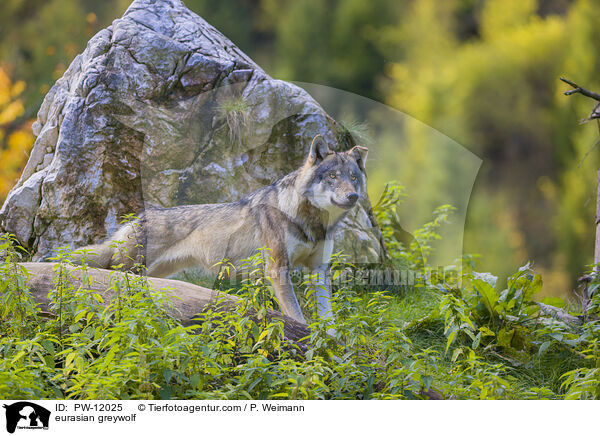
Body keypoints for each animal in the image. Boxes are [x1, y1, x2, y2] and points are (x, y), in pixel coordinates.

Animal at [77, 136, 368, 324]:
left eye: (353, 177)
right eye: (332, 177)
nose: (353, 196)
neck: (312, 222)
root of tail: (135, 219)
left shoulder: (318, 270)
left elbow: (328, 320)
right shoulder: (278, 270)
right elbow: (297, 317)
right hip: (130, 271)